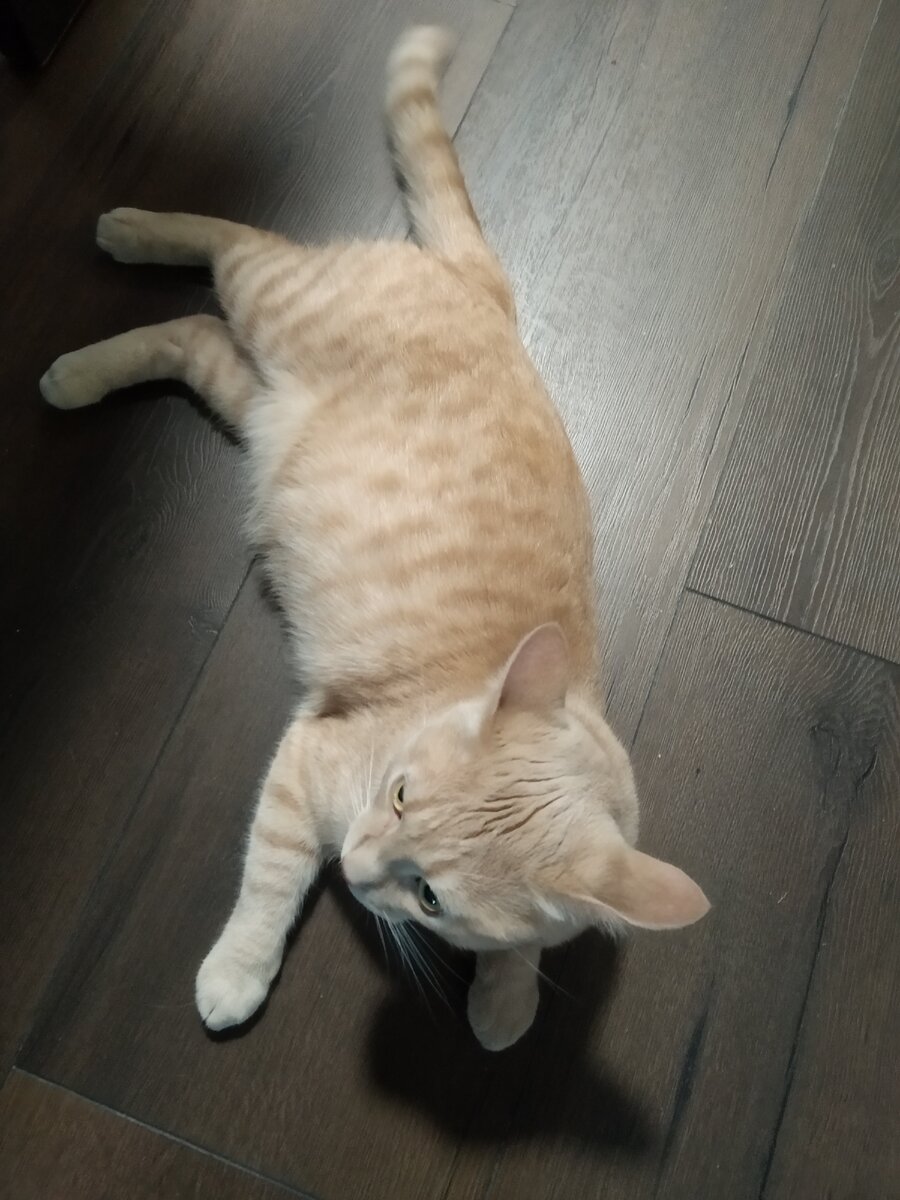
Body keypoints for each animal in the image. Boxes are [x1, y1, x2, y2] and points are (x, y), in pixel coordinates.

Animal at [40, 26, 709, 1051]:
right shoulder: (304, 767)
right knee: (231, 241)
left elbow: (530, 948)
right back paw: (124, 247)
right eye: (397, 793)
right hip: (273, 295)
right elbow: (268, 883)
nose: (354, 864)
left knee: (190, 331)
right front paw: (239, 970)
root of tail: (489, 290)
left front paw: (504, 997)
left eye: (431, 897)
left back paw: (94, 352)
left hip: (255, 405)